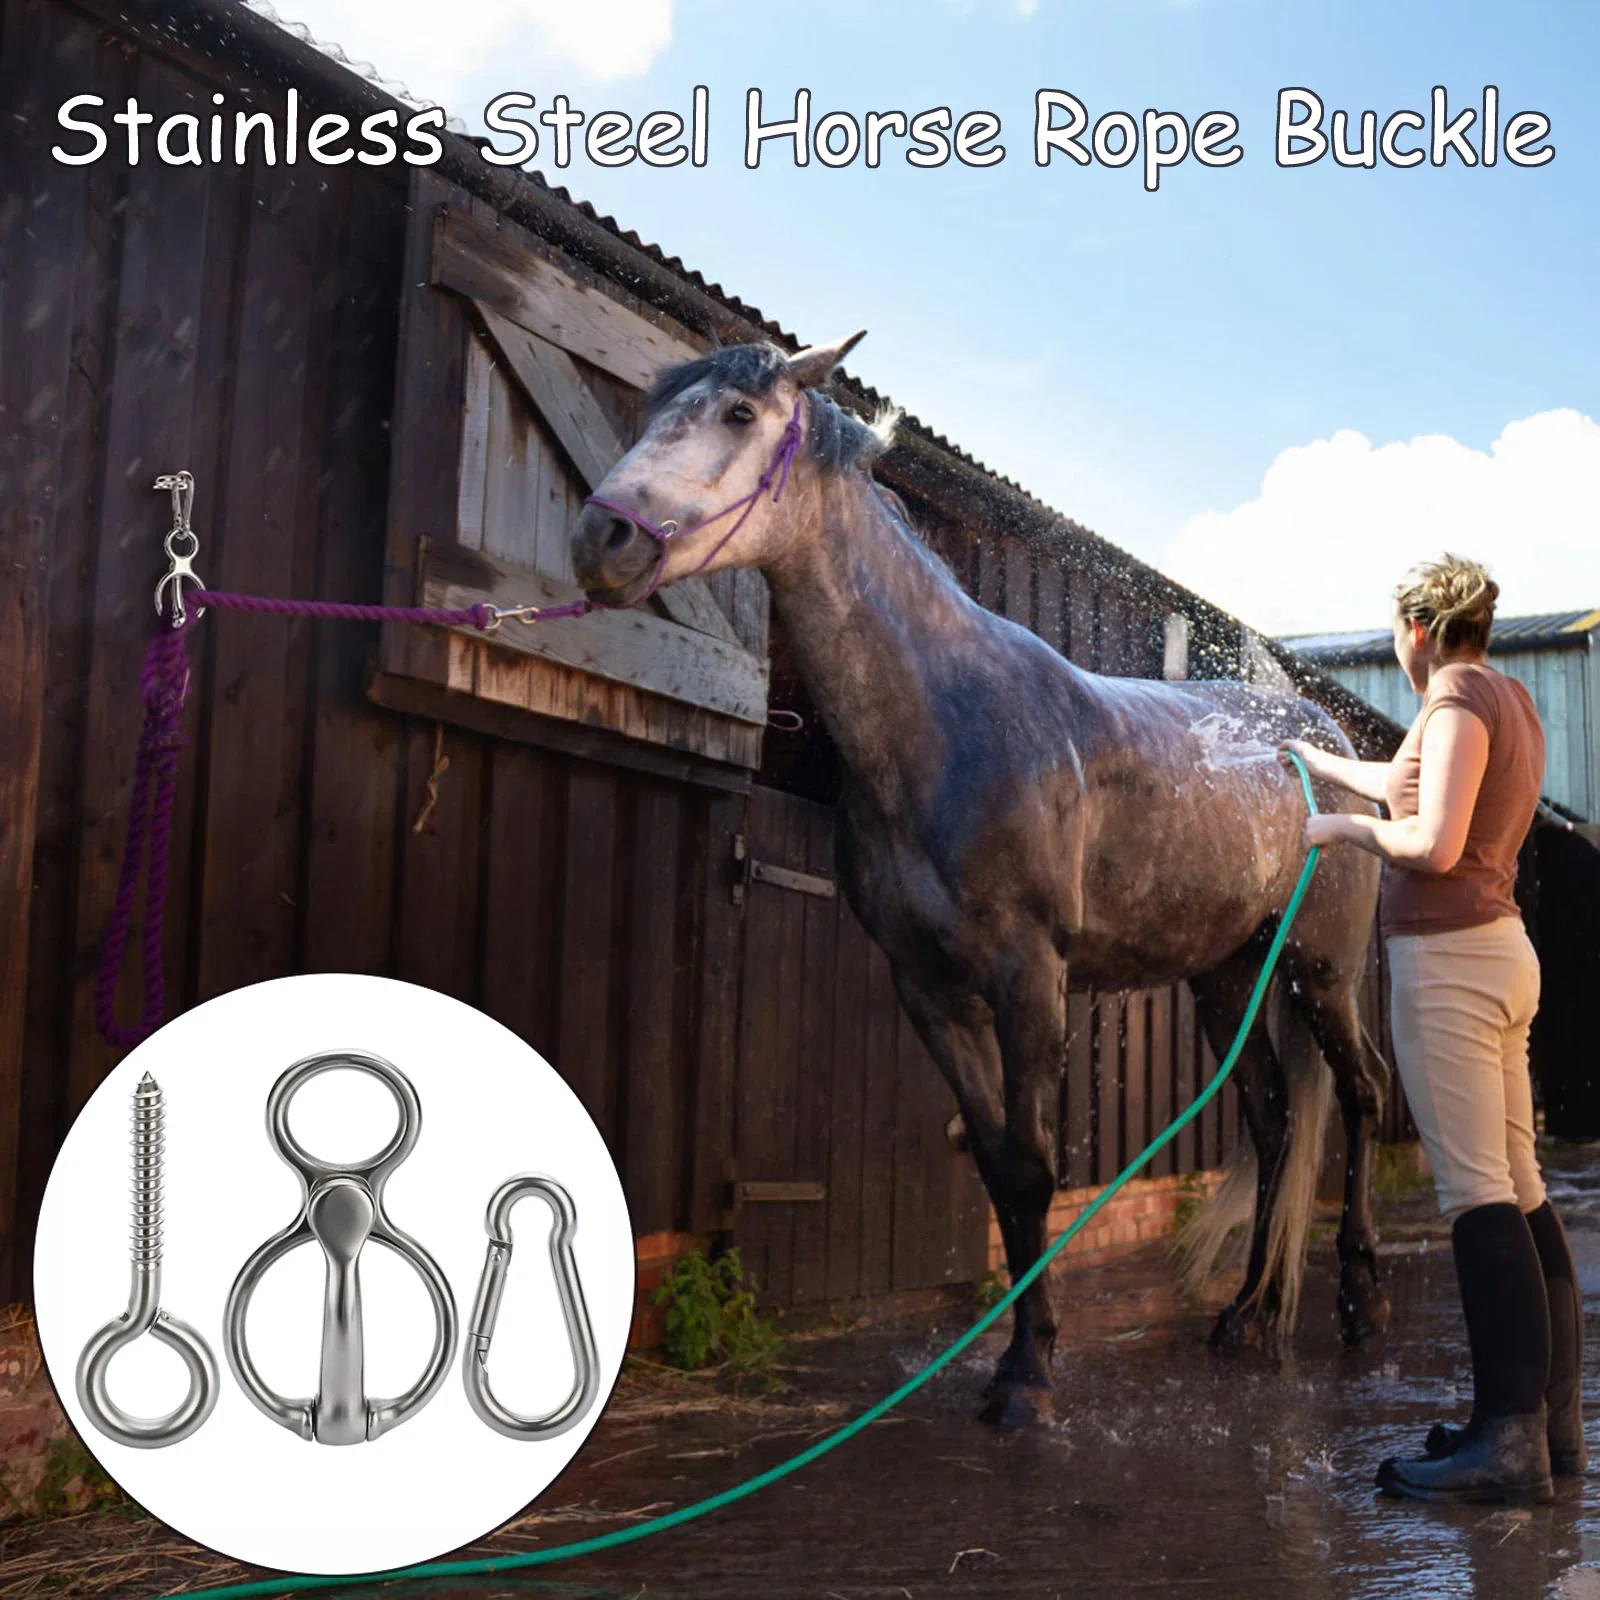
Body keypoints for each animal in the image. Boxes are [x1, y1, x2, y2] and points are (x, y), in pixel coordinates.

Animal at [570, 332, 1391, 1425]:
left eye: (740, 416)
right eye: (654, 408)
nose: (600, 540)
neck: (946, 725)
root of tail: (1325, 734)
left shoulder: (1029, 977)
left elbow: (1036, 1168)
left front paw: (1029, 1376)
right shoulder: (928, 989)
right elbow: (1002, 1170)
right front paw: (1020, 1353)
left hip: (1321, 969)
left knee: (1361, 1096)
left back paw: (1358, 1299)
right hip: (1228, 975)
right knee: (1273, 1119)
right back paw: (1246, 1316)